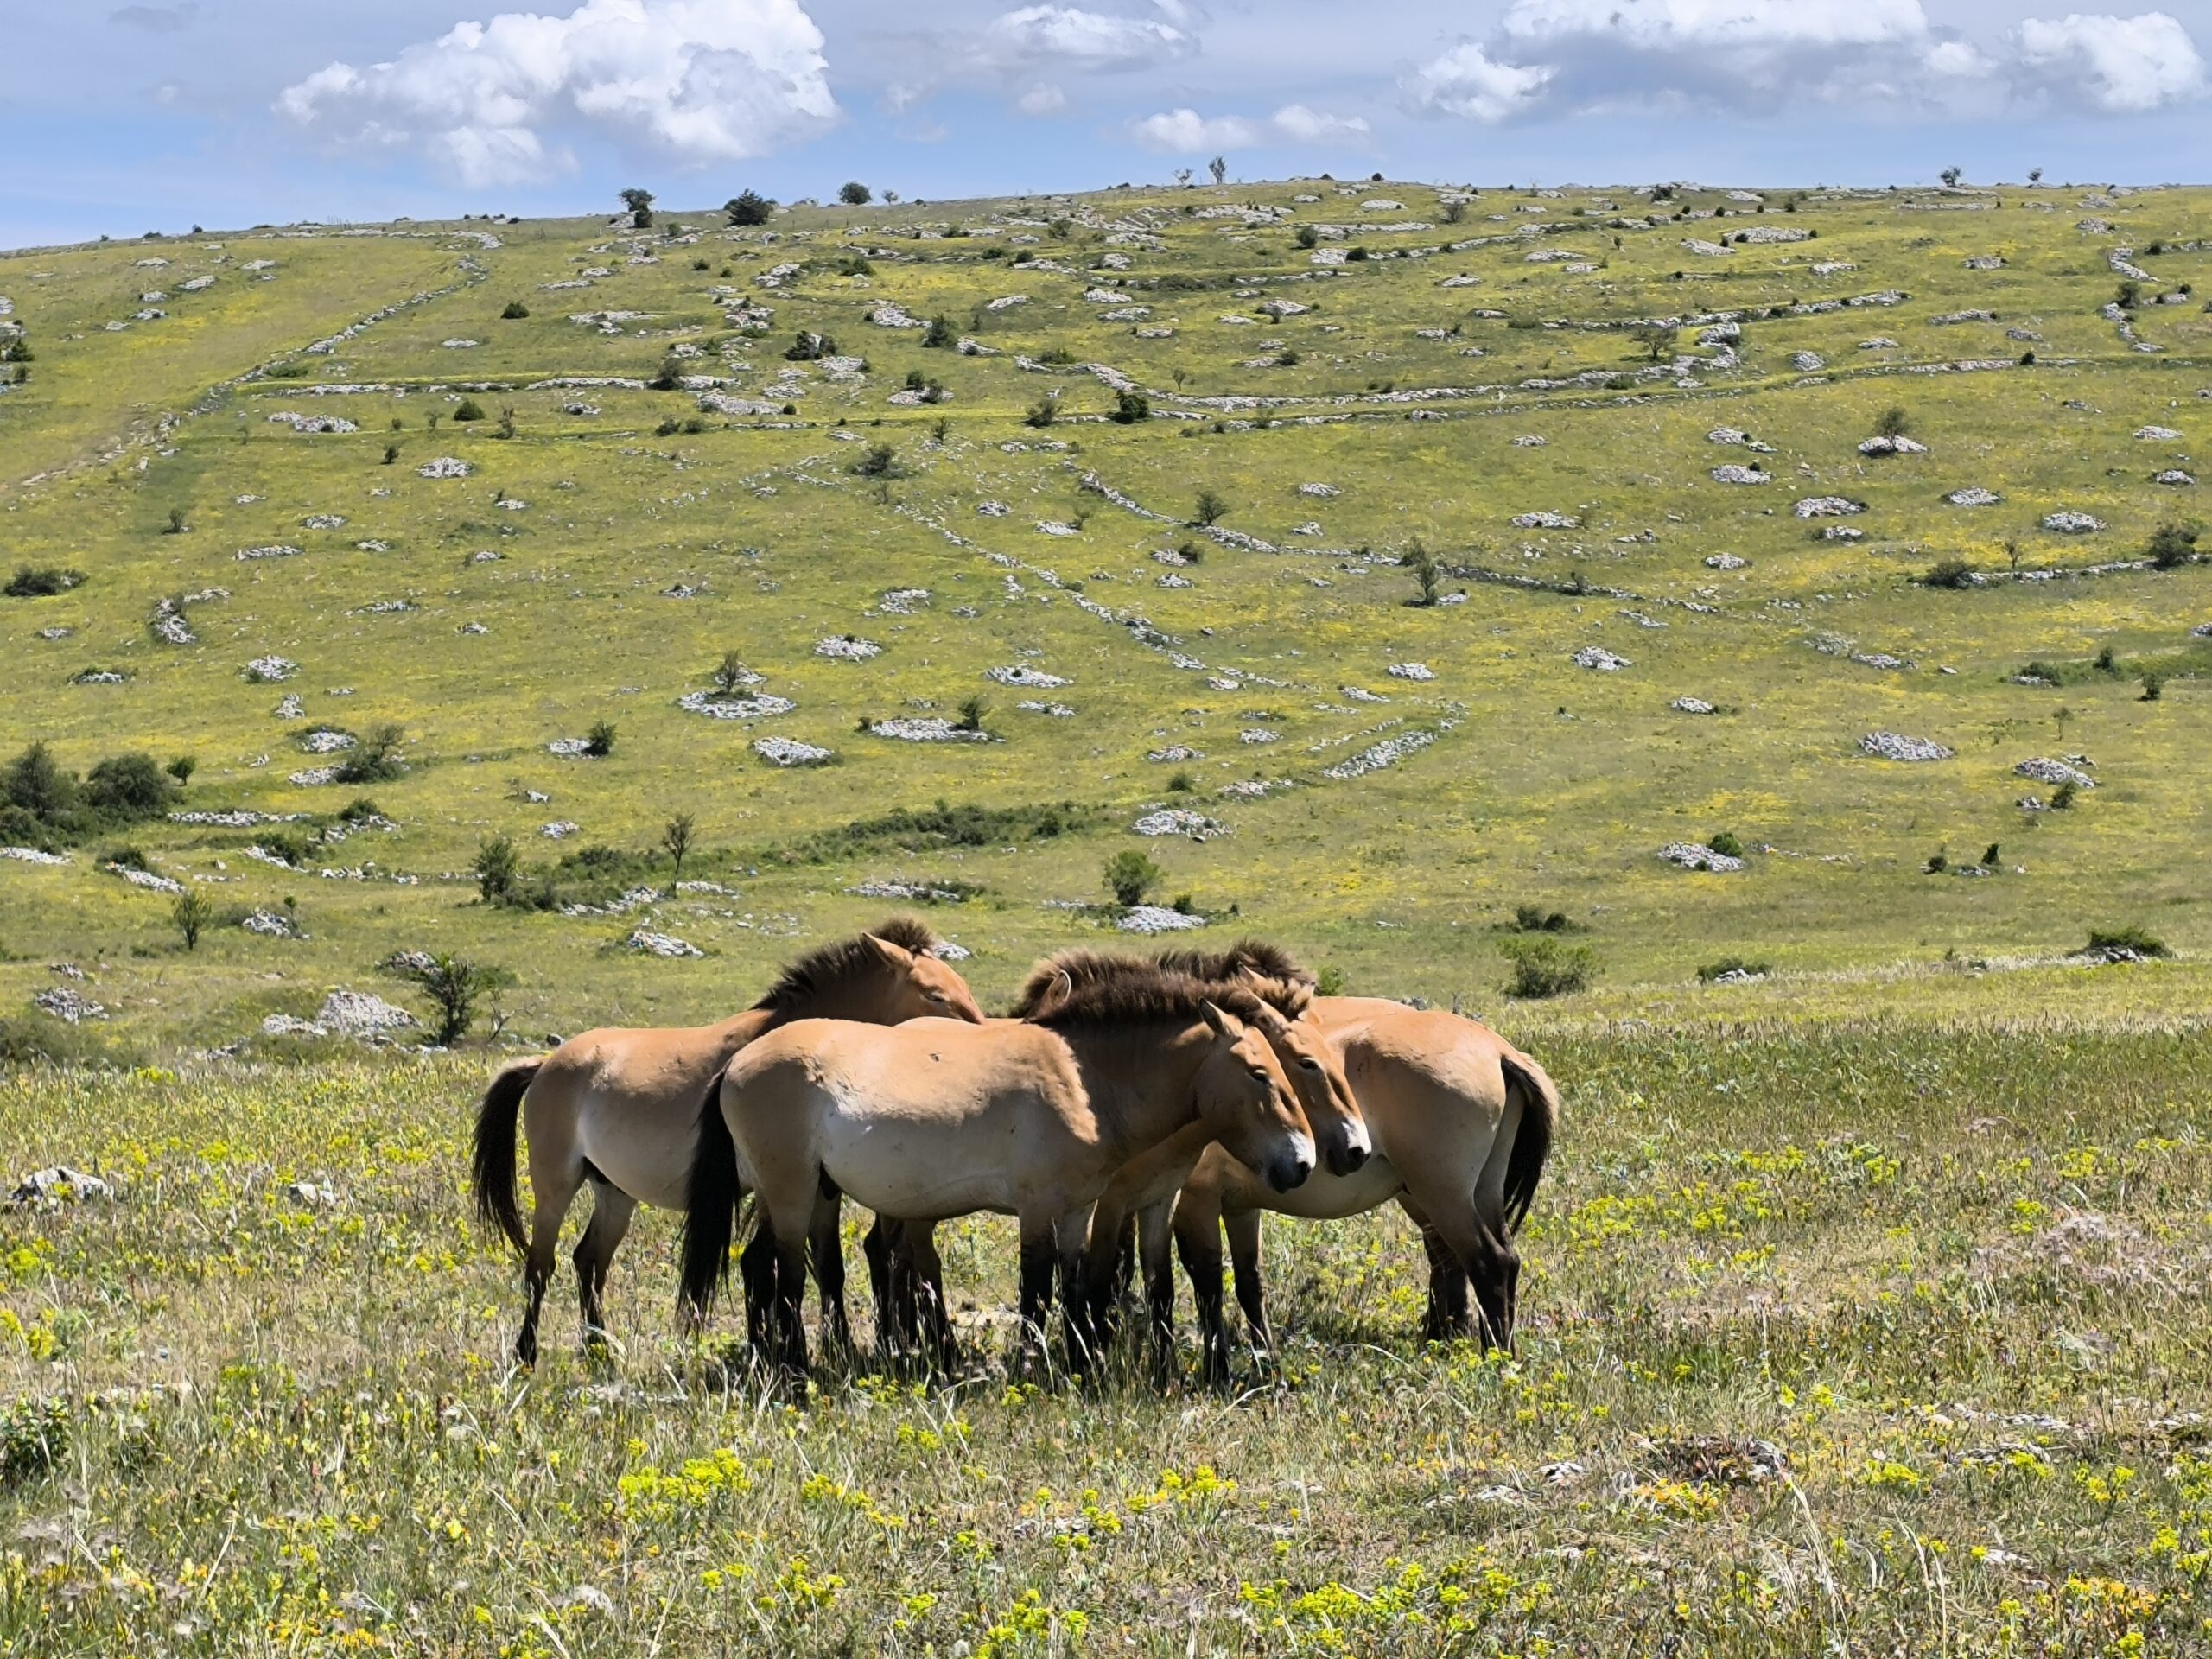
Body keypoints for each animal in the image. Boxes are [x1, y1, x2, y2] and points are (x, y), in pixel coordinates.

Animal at [469, 918, 984, 1365]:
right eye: (936, 995)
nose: (980, 1038)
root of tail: (545, 1065)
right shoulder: (778, 1188)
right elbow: (771, 1266)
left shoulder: (820, 1187)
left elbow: (828, 1266)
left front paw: (833, 1348)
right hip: (555, 1187)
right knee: (541, 1266)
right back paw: (527, 1353)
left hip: (614, 1193)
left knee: (589, 1261)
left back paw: (599, 1348)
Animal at [678, 968, 1316, 1381]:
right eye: (1260, 1072)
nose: (1302, 1161)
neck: (1082, 1079)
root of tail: (736, 1064)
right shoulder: (1037, 1208)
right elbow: (1036, 1291)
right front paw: (1034, 1370)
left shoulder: (1079, 1209)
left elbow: (1076, 1286)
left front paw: (1081, 1367)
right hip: (792, 1192)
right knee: (787, 1276)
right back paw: (795, 1373)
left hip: (804, 1192)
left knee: (761, 1265)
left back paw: (773, 1363)